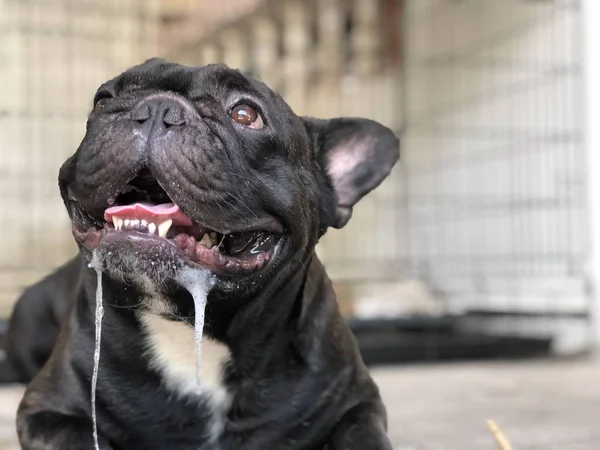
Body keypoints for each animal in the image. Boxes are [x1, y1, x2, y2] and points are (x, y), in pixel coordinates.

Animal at [16, 58, 398, 448]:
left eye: (245, 114)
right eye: (102, 100)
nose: (157, 107)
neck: (186, 328)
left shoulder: (357, 404)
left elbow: (361, 437)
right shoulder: (47, 409)